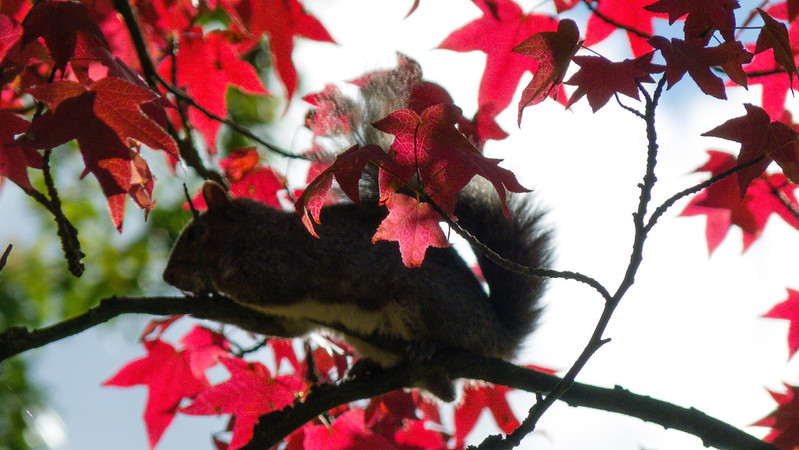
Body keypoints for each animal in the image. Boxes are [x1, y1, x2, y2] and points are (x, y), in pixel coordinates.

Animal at [162, 57, 551, 400]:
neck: (251, 234)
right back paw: (371, 369)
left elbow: (263, 286)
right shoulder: (291, 320)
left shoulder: (282, 262)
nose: (167, 277)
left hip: (426, 300)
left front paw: (208, 282)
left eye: (195, 234)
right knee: (446, 391)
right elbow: (279, 326)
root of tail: (499, 334)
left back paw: (426, 346)